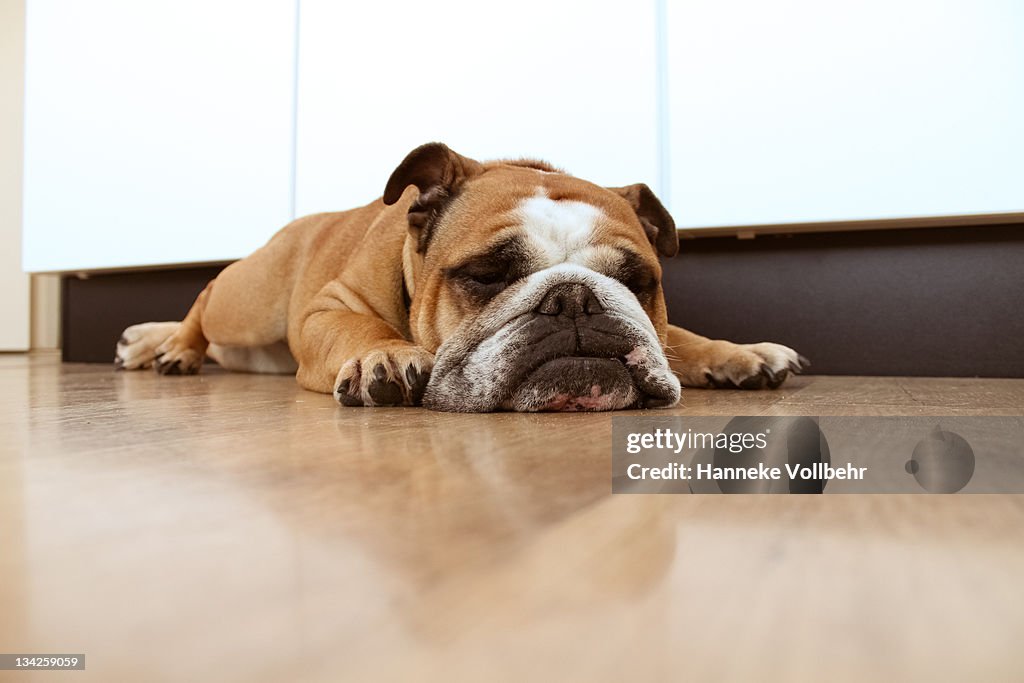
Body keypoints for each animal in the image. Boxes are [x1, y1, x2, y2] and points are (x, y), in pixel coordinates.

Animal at [116, 143, 806, 411]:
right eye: (486, 274)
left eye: (637, 281)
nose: (575, 299)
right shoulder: (327, 307)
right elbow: (358, 329)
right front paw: (388, 357)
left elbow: (677, 335)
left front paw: (737, 354)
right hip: (250, 300)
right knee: (205, 297)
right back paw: (169, 346)